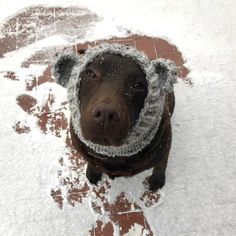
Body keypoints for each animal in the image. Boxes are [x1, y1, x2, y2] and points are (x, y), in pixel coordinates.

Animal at [53, 44, 175, 192]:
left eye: (138, 85)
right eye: (91, 74)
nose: (106, 114)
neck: (113, 155)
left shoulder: (163, 149)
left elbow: (160, 166)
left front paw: (157, 179)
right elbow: (92, 162)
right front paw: (92, 172)